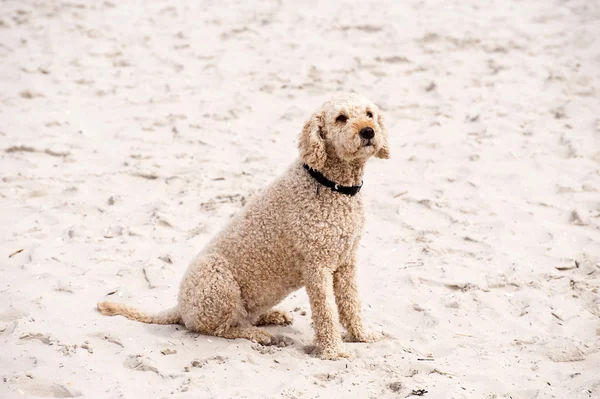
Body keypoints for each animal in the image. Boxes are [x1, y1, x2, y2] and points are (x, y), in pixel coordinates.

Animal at [98, 92, 390, 360]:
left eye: (369, 114)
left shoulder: (346, 262)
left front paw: (362, 335)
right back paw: (257, 335)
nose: (368, 131)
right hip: (217, 280)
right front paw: (334, 351)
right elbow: (326, 312)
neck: (331, 185)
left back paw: (271, 317)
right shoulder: (317, 267)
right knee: (219, 329)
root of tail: (180, 307)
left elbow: (351, 304)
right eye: (340, 118)